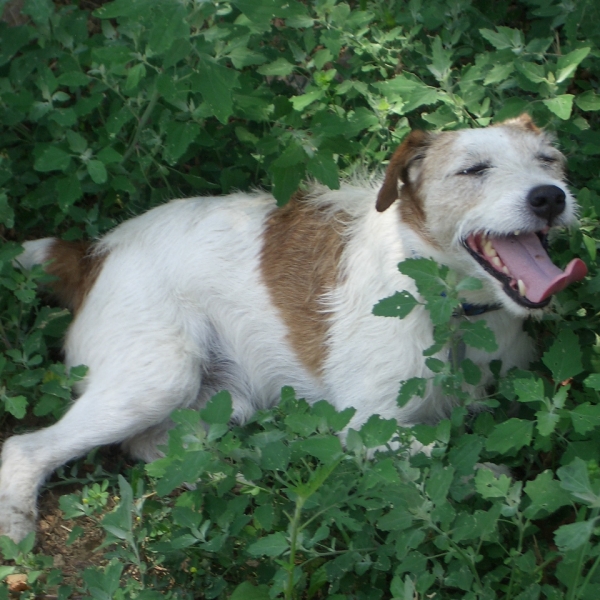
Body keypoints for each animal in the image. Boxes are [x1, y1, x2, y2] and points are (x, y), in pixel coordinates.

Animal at [0, 112, 584, 540]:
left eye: (548, 160)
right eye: (474, 169)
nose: (549, 196)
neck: (452, 313)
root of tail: (94, 252)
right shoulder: (366, 427)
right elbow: (448, 451)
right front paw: (501, 480)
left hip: (219, 403)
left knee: (158, 448)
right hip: (158, 377)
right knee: (25, 449)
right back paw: (17, 523)